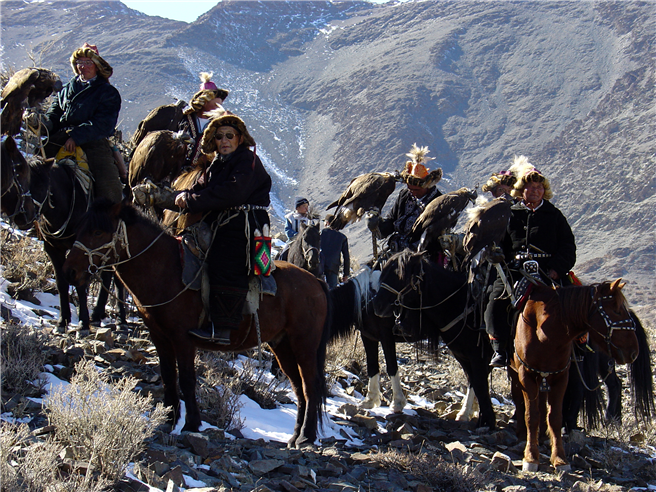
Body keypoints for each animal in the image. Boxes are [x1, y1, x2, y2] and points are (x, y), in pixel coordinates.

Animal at [0, 158, 125, 332]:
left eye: (41, 186)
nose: (24, 216)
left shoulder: (82, 251)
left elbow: (81, 284)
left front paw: (83, 323)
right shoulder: (53, 249)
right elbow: (61, 283)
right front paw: (62, 320)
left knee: (118, 280)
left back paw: (121, 321)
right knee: (107, 275)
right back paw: (97, 315)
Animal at [63, 199, 330, 446]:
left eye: (98, 232)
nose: (70, 272)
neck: (165, 270)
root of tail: (315, 282)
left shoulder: (183, 338)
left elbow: (187, 380)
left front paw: (191, 424)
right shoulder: (160, 338)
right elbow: (168, 376)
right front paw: (167, 421)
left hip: (304, 344)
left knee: (311, 385)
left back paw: (306, 437)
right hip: (282, 345)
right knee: (298, 387)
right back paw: (295, 436)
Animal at [368, 250, 498, 426]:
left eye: (400, 276)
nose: (376, 306)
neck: (460, 303)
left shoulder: (478, 354)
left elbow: (479, 382)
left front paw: (488, 420)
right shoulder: (463, 354)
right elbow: (475, 381)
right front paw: (470, 414)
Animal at [510, 280, 640, 472]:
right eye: (616, 310)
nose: (633, 352)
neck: (545, 333)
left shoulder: (560, 377)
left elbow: (555, 417)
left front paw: (559, 459)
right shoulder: (526, 375)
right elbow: (531, 415)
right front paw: (531, 457)